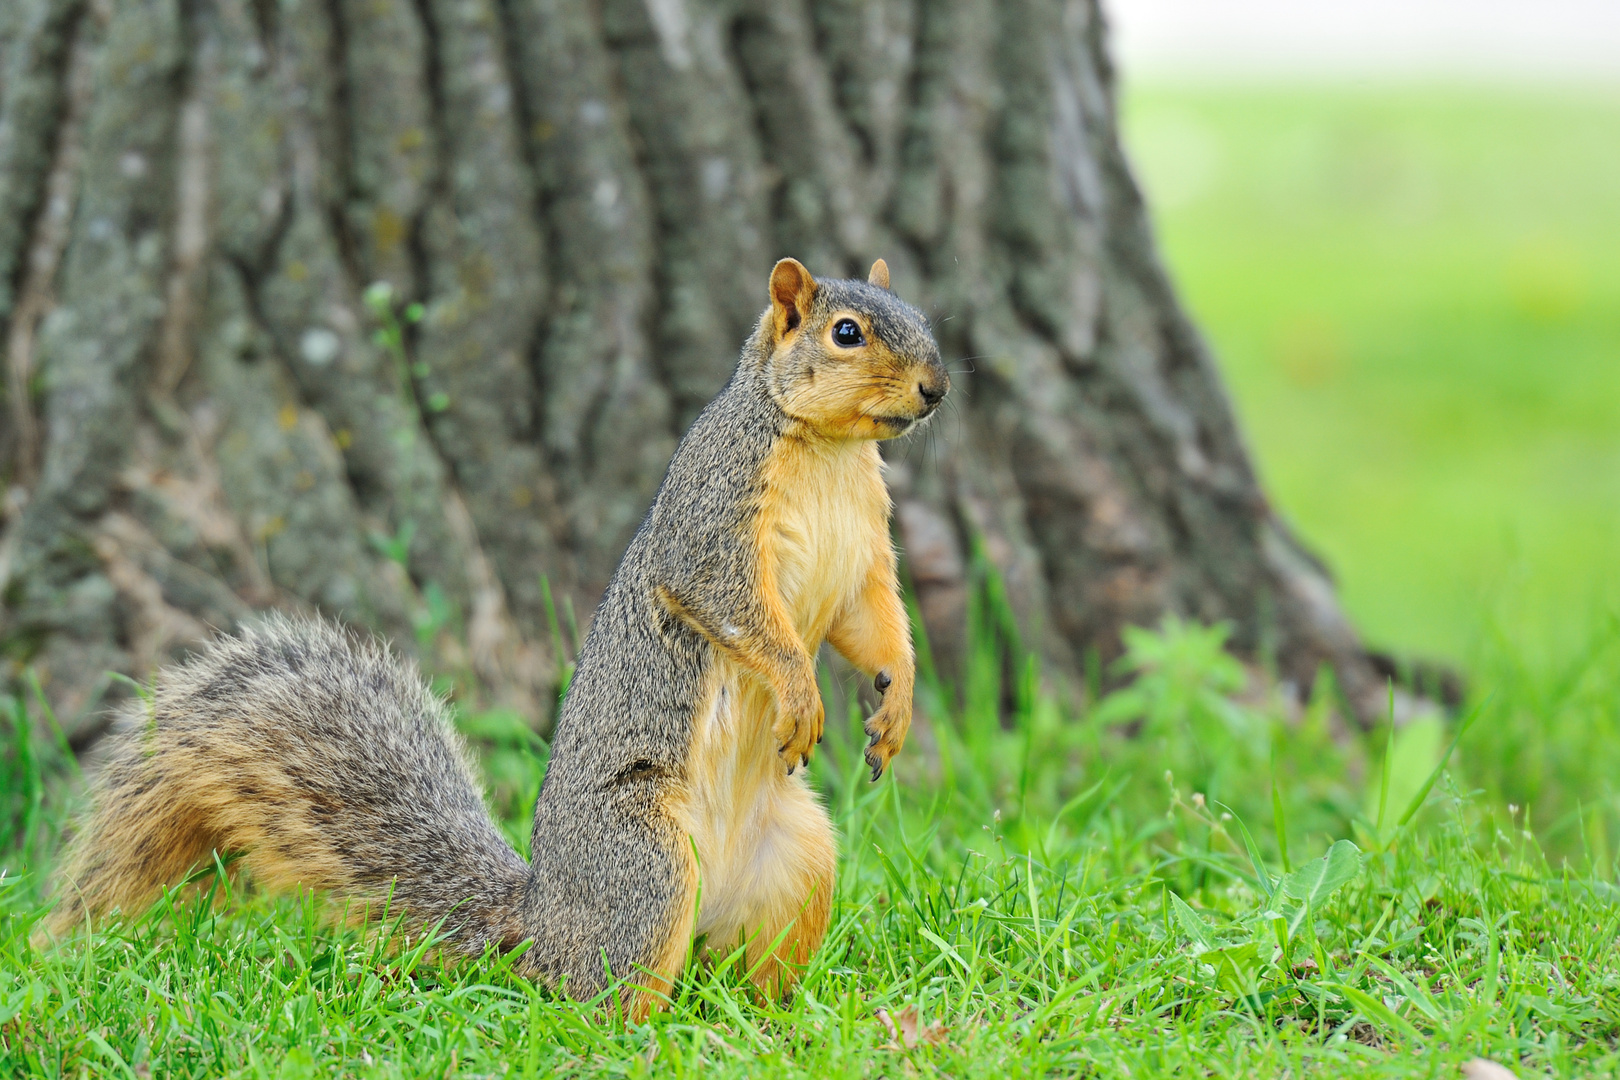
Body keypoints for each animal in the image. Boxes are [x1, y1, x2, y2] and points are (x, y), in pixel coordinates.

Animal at [47, 259, 946, 1023]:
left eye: (921, 315)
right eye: (847, 332)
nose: (936, 389)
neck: (833, 451)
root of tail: (540, 925)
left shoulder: (865, 557)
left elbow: (875, 627)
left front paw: (898, 703)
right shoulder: (712, 516)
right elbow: (729, 604)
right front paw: (800, 691)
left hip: (799, 860)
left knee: (739, 971)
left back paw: (776, 1021)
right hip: (645, 860)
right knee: (603, 998)